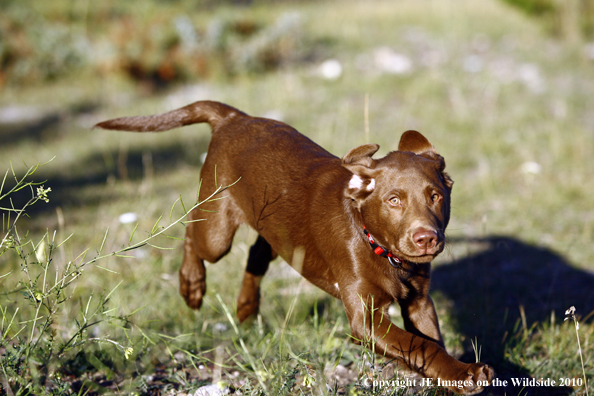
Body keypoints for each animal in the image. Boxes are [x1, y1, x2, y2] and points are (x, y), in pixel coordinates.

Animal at [97, 101, 492, 392]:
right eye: (394, 200)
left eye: (435, 196)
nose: (426, 238)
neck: (384, 251)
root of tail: (234, 118)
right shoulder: (364, 319)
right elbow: (422, 346)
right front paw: (467, 375)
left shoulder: (419, 301)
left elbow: (432, 343)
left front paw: (455, 377)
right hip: (216, 227)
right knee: (194, 236)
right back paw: (191, 286)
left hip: (276, 227)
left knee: (257, 253)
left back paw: (246, 308)